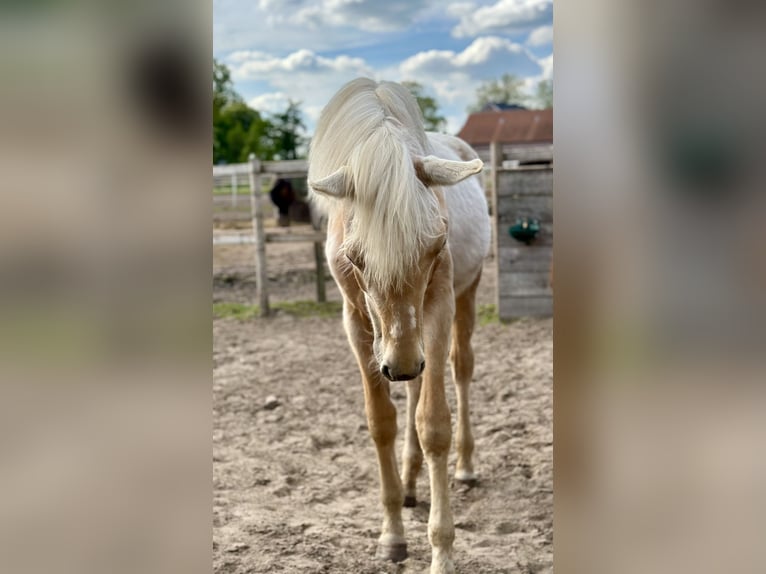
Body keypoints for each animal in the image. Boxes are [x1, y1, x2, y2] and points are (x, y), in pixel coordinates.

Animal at [308, 77, 492, 574]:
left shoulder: (438, 308)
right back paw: (410, 485)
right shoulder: (358, 324)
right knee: (412, 392)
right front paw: (391, 534)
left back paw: (466, 468)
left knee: (459, 370)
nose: (403, 364)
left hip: (465, 298)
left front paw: (442, 553)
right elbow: (382, 423)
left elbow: (434, 425)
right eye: (354, 258)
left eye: (437, 245)